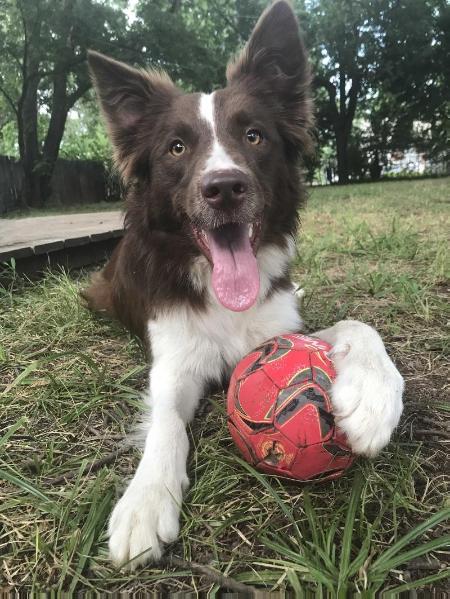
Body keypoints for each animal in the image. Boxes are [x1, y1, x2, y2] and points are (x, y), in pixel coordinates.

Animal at [84, 1, 404, 572]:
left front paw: (372, 398)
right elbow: (166, 420)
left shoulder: (276, 328)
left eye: (253, 136)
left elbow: (357, 324)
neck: (219, 292)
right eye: (176, 148)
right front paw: (145, 500)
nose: (225, 187)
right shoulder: (174, 358)